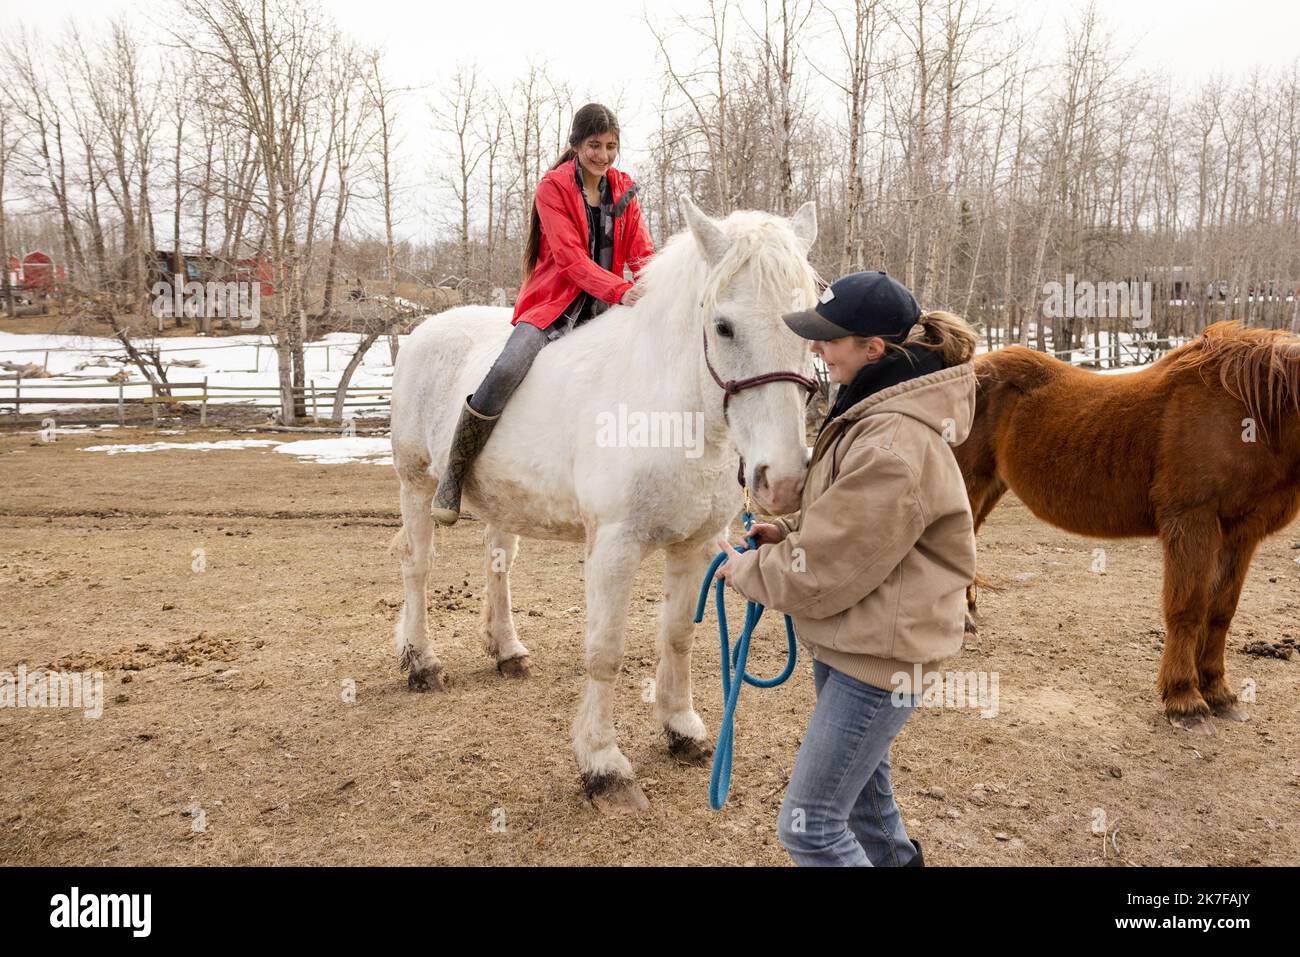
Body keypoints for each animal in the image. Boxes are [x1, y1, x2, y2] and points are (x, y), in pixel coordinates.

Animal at [387, 197, 820, 811]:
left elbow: (679, 635)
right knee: (418, 566)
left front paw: (682, 728)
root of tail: (426, 330)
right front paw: (603, 763)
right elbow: (605, 650)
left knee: (498, 564)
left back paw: (506, 649)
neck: (667, 408)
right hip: (416, 483)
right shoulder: (615, 546)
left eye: (809, 326)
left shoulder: (696, 547)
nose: (781, 480)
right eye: (723, 326)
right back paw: (421, 661)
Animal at [955, 321, 1300, 734]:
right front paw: (1185, 700)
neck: (1253, 413)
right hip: (967, 479)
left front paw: (1218, 693)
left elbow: (1221, 611)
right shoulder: (1192, 522)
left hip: (991, 485)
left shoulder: (1242, 533)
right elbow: (1188, 608)